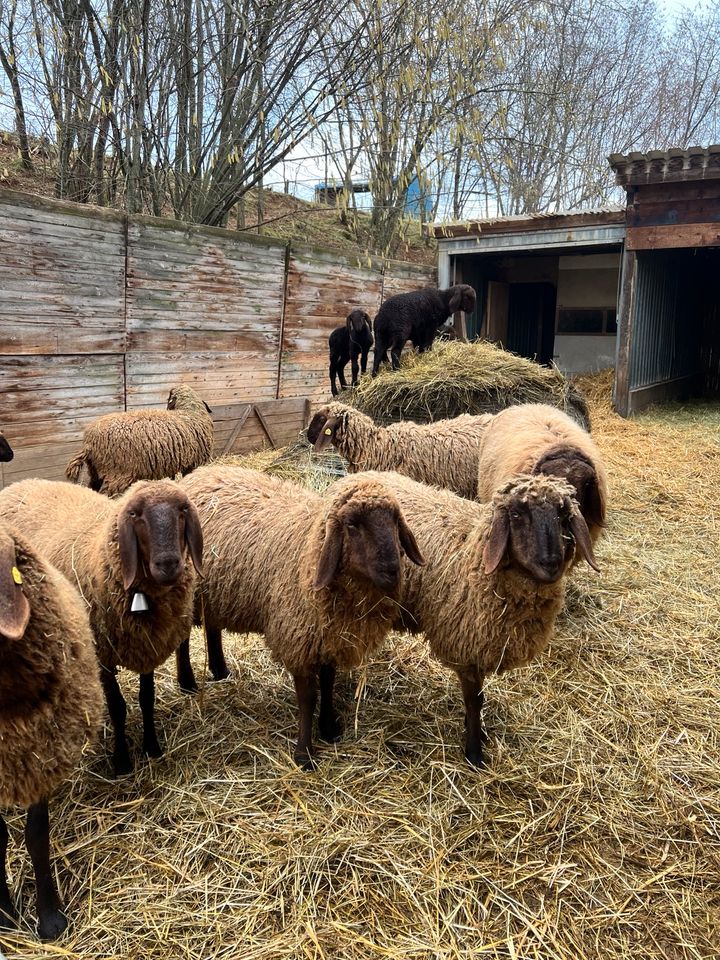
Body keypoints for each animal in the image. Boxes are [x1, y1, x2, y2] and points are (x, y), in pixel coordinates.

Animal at [0, 476, 204, 776]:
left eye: (183, 510)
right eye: (135, 514)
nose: (168, 564)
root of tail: (18, 484)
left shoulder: (146, 647)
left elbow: (147, 697)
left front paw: (151, 747)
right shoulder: (103, 652)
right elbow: (118, 707)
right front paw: (121, 761)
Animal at [65, 384, 214, 498]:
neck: (190, 412)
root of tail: (89, 442)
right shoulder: (194, 463)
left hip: (95, 470)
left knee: (93, 488)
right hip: (116, 473)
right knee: (107, 494)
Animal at [174, 464, 422, 764]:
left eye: (396, 521)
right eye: (352, 525)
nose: (392, 571)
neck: (309, 555)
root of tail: (199, 474)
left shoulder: (327, 637)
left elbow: (328, 683)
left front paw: (328, 728)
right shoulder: (299, 639)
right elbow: (308, 697)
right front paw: (304, 754)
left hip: (217, 591)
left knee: (213, 625)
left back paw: (220, 670)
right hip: (189, 591)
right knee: (183, 637)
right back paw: (187, 683)